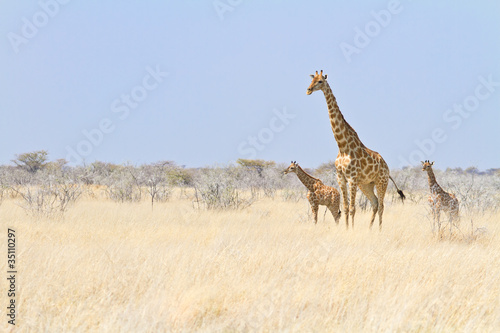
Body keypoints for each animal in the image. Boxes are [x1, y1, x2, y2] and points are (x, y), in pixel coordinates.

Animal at [304, 69, 406, 228]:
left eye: (320, 81)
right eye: (311, 79)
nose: (308, 90)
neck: (342, 146)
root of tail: (387, 168)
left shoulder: (352, 178)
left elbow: (352, 208)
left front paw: (351, 230)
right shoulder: (341, 177)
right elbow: (345, 207)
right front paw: (346, 230)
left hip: (381, 182)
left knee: (382, 205)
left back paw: (379, 230)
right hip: (366, 184)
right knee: (375, 203)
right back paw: (369, 229)